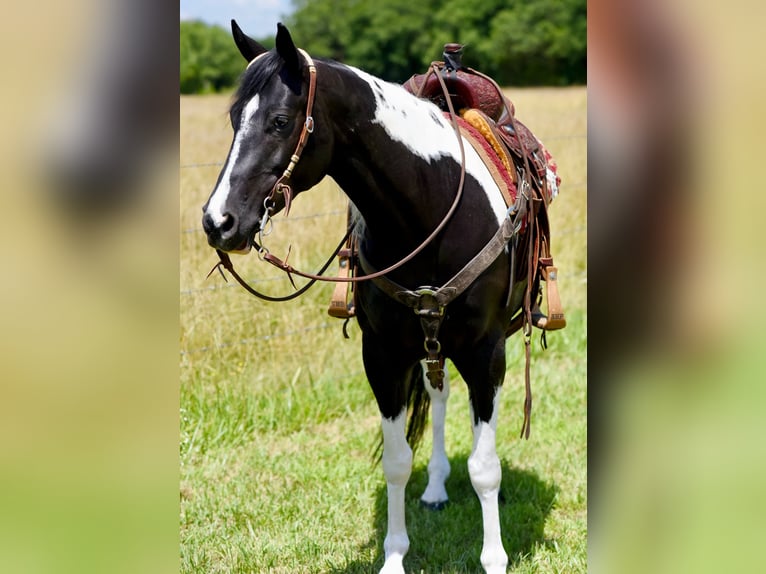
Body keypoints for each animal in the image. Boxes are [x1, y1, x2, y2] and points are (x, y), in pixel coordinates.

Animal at [202, 21, 562, 574]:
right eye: (234, 119)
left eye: (280, 121)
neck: (430, 207)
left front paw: (494, 558)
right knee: (439, 396)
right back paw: (435, 488)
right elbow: (396, 462)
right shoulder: (384, 355)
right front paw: (394, 556)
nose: (218, 221)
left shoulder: (486, 351)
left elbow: (485, 466)